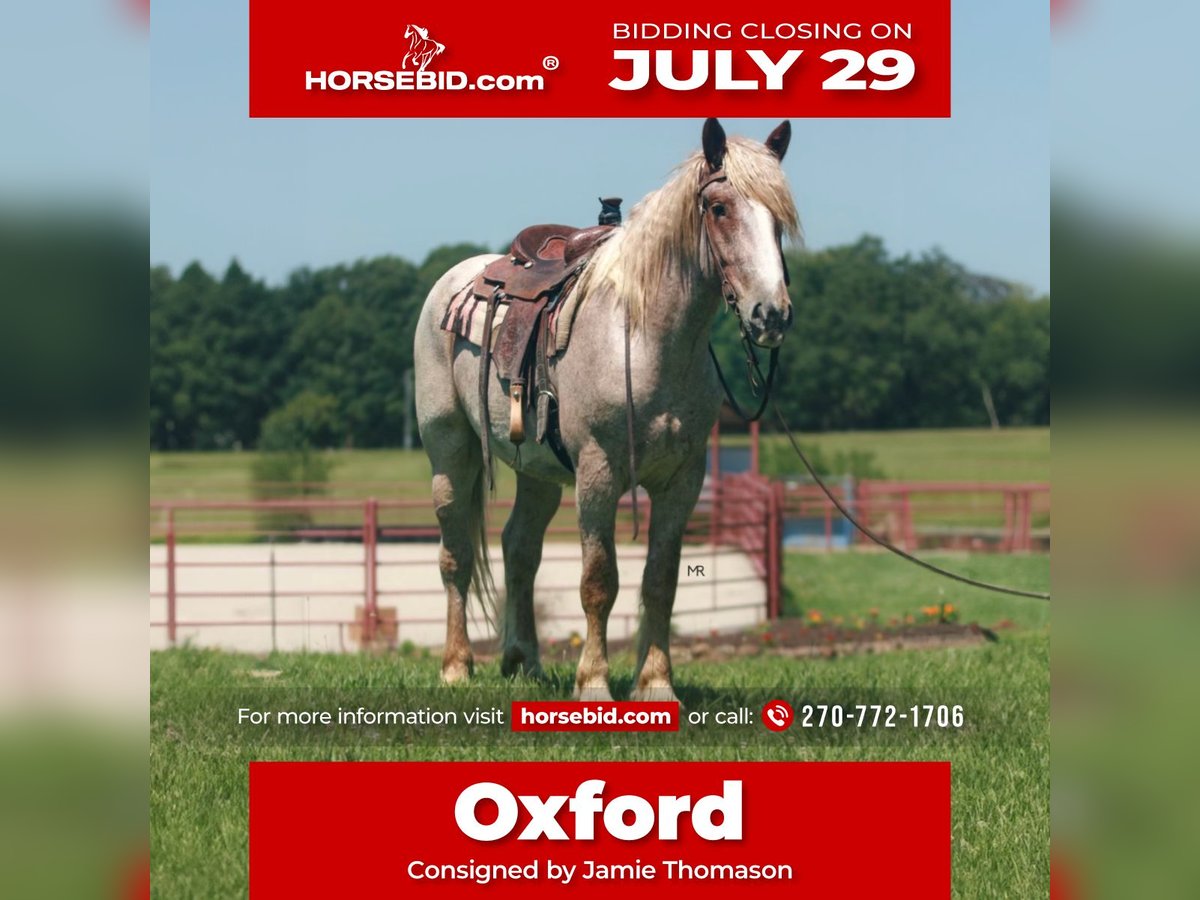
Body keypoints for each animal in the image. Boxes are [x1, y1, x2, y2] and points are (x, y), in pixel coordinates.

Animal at [412, 116, 796, 700]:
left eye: (780, 216)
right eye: (719, 208)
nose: (770, 314)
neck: (645, 337)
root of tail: (455, 279)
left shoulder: (683, 480)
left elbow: (660, 581)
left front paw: (656, 685)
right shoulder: (598, 473)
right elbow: (599, 581)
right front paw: (593, 683)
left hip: (537, 471)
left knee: (519, 547)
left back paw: (524, 661)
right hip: (449, 451)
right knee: (455, 552)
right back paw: (456, 666)